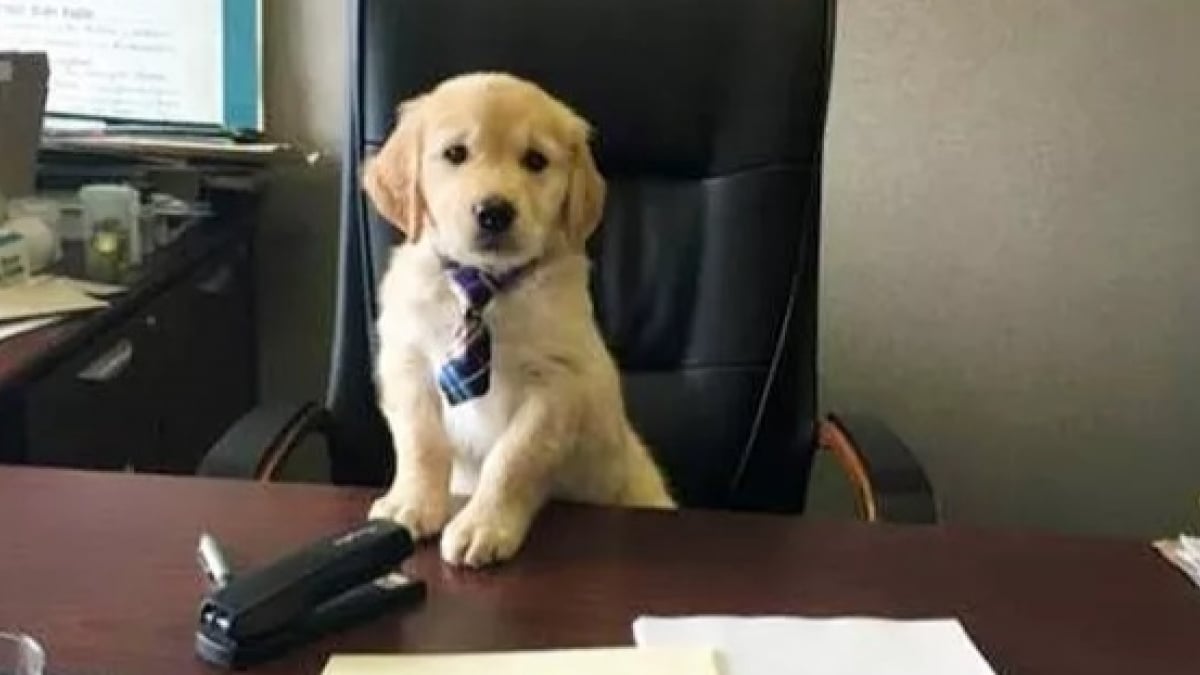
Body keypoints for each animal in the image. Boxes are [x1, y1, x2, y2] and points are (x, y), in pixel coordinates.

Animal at [360, 73, 676, 564]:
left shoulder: (556, 383)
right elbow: (420, 442)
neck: (484, 285)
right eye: (455, 153)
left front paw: (483, 525)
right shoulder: (407, 363)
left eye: (535, 160)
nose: (494, 212)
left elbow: (512, 459)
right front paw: (411, 503)